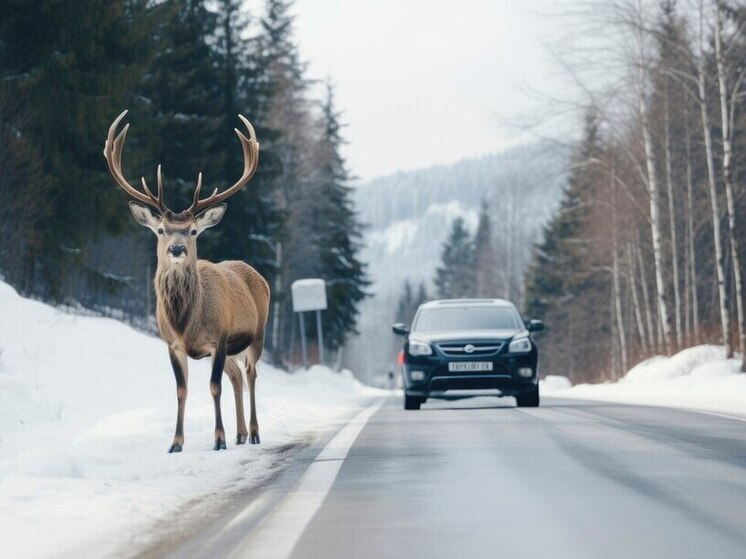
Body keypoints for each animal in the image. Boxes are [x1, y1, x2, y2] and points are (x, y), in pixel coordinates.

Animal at [102, 110, 268, 456]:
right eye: (161, 229)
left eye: (192, 230)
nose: (176, 249)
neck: (185, 323)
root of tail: (254, 272)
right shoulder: (172, 344)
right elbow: (181, 390)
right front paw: (176, 444)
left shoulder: (219, 337)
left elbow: (214, 387)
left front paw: (218, 440)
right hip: (232, 350)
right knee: (237, 376)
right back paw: (240, 433)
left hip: (256, 335)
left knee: (250, 373)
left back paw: (254, 433)